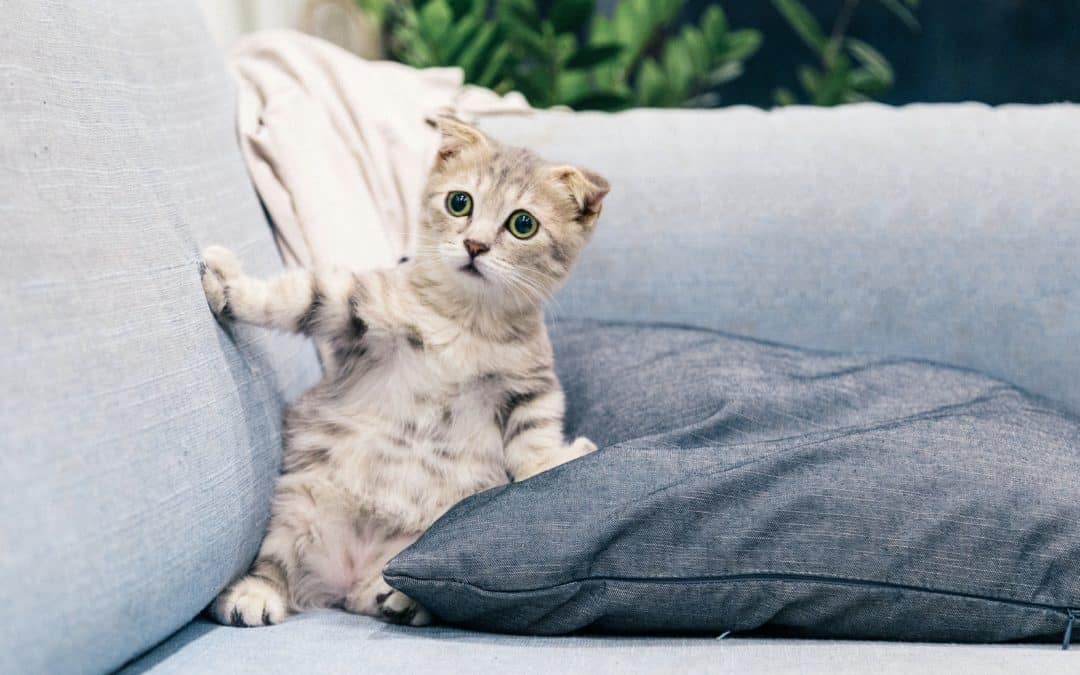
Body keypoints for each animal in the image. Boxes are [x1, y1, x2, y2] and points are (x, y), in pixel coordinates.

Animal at [200, 115, 609, 626]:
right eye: (459, 202)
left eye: (523, 224)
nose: (475, 245)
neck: (467, 321)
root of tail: (347, 577)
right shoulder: (358, 309)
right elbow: (298, 297)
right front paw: (229, 286)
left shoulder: (531, 386)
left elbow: (534, 439)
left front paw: (552, 463)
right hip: (298, 504)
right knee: (275, 564)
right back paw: (254, 595)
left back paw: (398, 598)